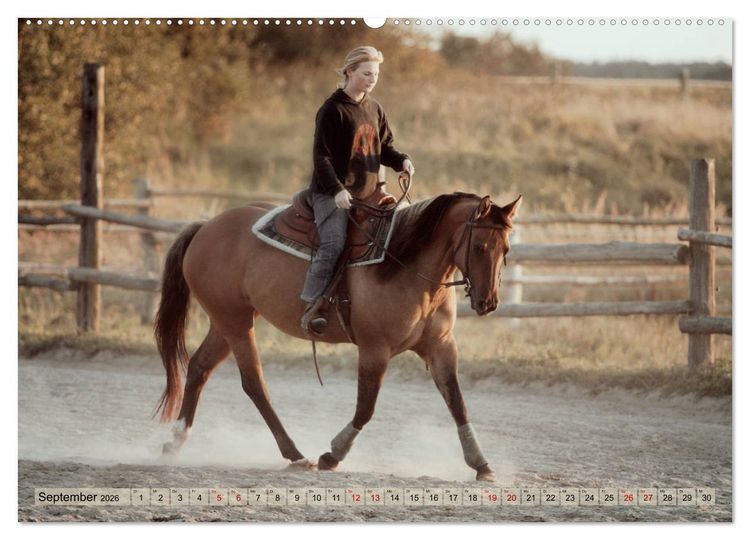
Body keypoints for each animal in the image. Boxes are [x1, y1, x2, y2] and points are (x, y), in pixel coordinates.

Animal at [155, 191, 522, 481]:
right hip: (235, 322)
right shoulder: (375, 349)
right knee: (254, 383)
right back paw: (295, 454)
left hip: (228, 321)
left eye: (505, 249)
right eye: (479, 246)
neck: (406, 265)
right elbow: (366, 408)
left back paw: (174, 442)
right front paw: (332, 455)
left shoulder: (442, 346)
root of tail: (205, 228)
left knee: (200, 368)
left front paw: (482, 465)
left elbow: (458, 404)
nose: (488, 302)